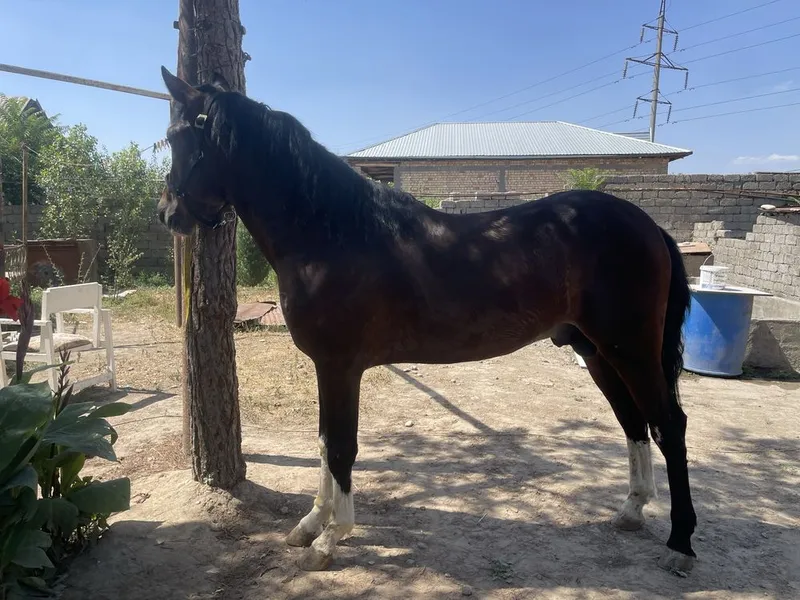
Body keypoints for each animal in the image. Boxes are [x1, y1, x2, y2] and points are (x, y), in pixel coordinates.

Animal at [157, 66, 697, 575]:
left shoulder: (339, 366)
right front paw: (310, 524)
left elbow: (342, 447)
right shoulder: (326, 367)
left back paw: (682, 543)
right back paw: (631, 511)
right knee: (634, 421)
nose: (167, 213)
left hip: (631, 349)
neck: (331, 234)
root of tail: (647, 225)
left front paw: (330, 539)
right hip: (598, 351)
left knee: (669, 424)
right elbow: (325, 442)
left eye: (181, 136)